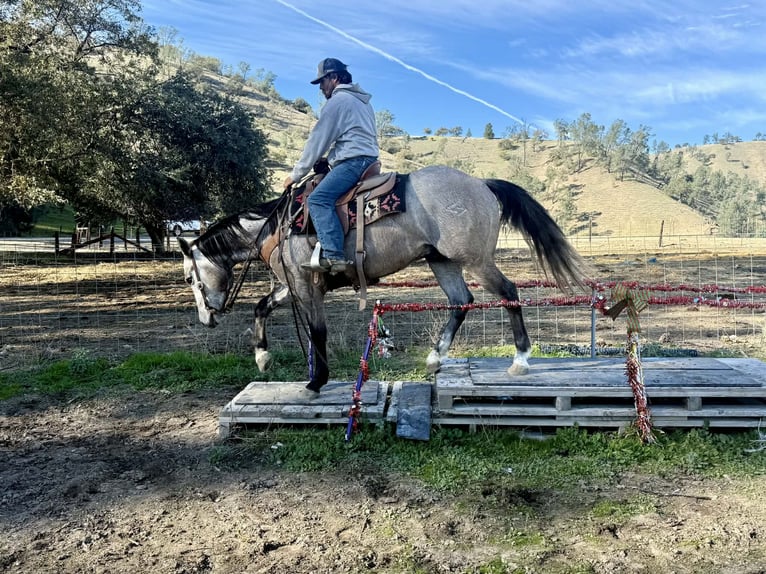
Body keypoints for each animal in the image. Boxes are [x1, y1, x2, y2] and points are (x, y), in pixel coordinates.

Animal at [179, 165, 588, 394]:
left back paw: (520, 360)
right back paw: (435, 358)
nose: (205, 318)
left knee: (508, 292)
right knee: (462, 302)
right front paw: (263, 358)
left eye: (189, 277)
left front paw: (316, 382)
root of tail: (482, 184)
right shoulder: (290, 284)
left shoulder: (306, 285)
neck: (275, 227)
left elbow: (317, 332)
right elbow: (262, 307)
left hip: (475, 260)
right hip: (442, 262)